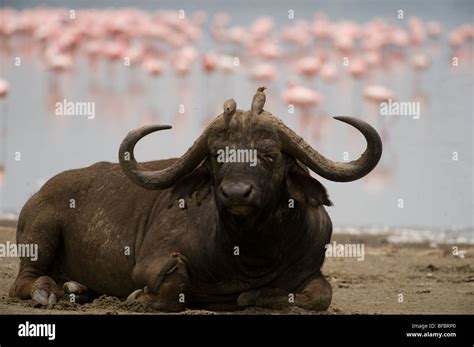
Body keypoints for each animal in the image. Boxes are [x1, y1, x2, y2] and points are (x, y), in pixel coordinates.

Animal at [10, 89, 382, 312]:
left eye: (269, 154)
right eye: (217, 155)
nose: (236, 193)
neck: (249, 253)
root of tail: (39, 194)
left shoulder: (312, 269)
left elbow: (321, 295)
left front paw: (253, 295)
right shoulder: (151, 262)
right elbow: (174, 281)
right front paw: (139, 297)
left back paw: (77, 288)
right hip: (40, 234)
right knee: (23, 281)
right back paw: (51, 292)